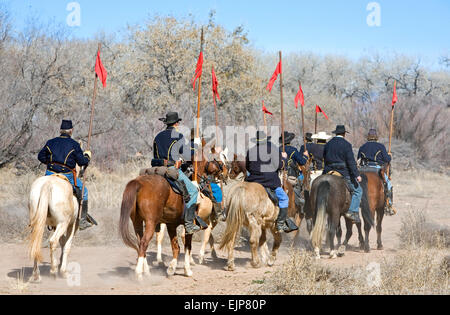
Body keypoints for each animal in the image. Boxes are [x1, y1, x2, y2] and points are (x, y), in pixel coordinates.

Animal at [119, 149, 227, 280]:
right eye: (221, 161)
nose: (225, 174)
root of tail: (138, 183)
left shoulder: (171, 225)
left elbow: (176, 247)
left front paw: (171, 268)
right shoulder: (189, 225)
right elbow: (187, 247)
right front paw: (187, 270)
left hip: (137, 222)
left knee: (140, 243)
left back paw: (147, 271)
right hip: (150, 223)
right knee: (144, 243)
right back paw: (139, 274)